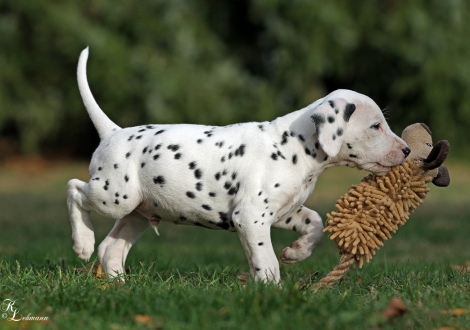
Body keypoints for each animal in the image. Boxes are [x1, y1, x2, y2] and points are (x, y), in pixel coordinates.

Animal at [68, 47, 410, 284]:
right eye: (376, 126)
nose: (407, 150)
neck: (293, 147)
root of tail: (113, 132)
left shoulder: (284, 212)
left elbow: (314, 222)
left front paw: (296, 252)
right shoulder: (251, 217)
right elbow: (266, 260)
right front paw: (271, 290)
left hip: (138, 212)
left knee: (110, 249)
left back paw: (119, 285)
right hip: (114, 196)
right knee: (75, 190)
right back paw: (82, 243)